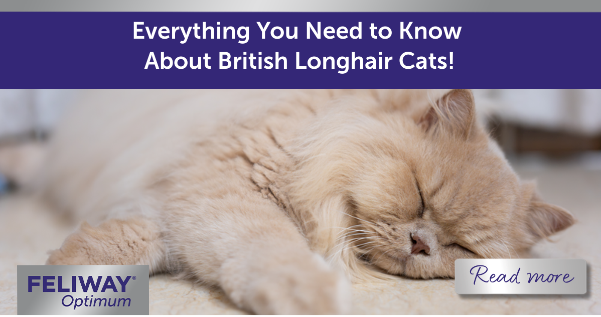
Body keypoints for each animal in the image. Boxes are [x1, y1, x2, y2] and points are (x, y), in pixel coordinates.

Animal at [5, 89, 576, 314]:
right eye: (418, 194)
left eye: (461, 248)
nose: (420, 244)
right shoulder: (223, 183)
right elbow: (270, 246)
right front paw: (310, 294)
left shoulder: (177, 205)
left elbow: (125, 244)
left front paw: (65, 270)